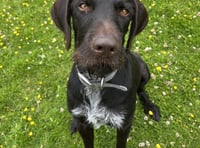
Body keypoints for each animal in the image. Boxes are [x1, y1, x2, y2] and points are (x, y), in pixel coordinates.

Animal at [50, 0, 160, 147]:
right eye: (83, 6)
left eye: (124, 11)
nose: (106, 48)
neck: (96, 80)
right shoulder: (84, 125)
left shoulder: (123, 125)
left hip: (144, 70)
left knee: (142, 90)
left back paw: (150, 107)